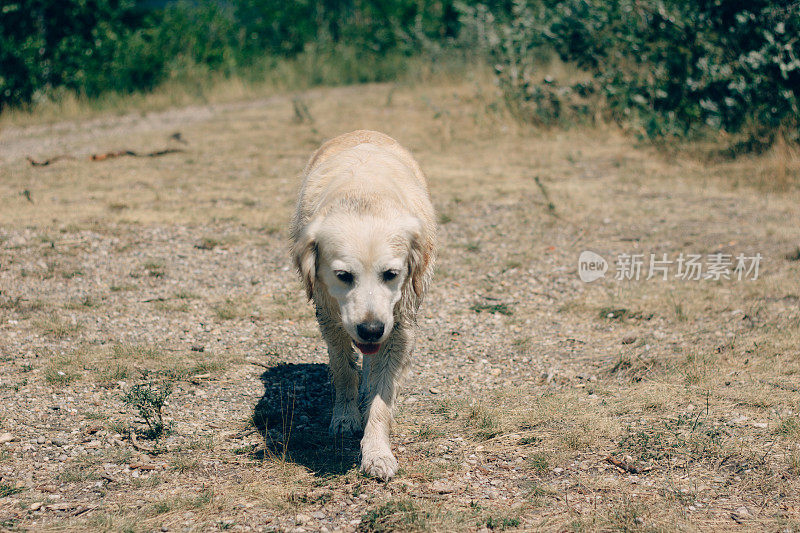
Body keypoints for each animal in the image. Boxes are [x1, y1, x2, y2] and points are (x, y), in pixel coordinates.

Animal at [290, 129, 434, 478]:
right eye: (344, 275)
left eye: (391, 274)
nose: (370, 329)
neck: (364, 200)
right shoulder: (330, 317)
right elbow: (343, 370)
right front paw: (346, 416)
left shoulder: (400, 326)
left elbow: (383, 397)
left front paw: (377, 451)